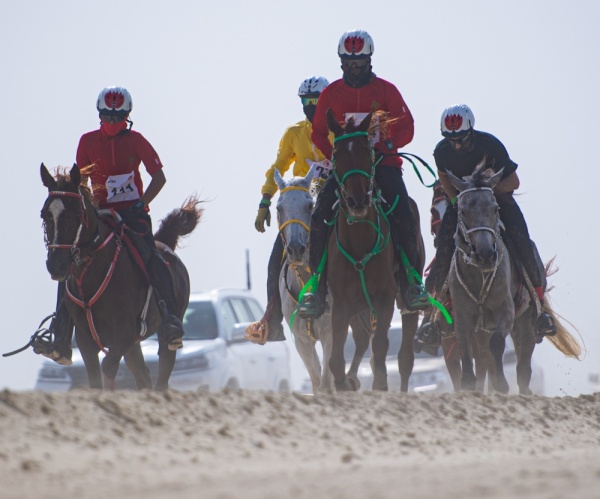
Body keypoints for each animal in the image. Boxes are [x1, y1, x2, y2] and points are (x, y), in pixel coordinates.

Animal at [41, 164, 204, 390]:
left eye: (75, 214)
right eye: (45, 215)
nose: (56, 264)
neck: (91, 275)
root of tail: (163, 243)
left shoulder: (124, 332)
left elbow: (108, 368)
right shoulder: (85, 339)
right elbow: (95, 379)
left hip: (164, 335)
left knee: (162, 374)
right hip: (133, 345)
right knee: (143, 375)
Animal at [324, 110, 422, 394]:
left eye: (368, 152)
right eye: (336, 154)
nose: (357, 201)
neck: (360, 243)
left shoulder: (384, 298)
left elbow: (380, 349)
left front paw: (379, 384)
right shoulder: (341, 305)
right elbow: (336, 360)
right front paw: (346, 383)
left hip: (407, 301)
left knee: (404, 358)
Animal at [448, 162, 580, 392]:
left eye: (495, 208)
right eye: (462, 211)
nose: (485, 255)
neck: (479, 277)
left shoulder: (506, 311)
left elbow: (497, 344)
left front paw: (502, 384)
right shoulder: (463, 318)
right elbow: (466, 350)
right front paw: (469, 385)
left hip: (526, 324)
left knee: (523, 369)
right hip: (483, 331)